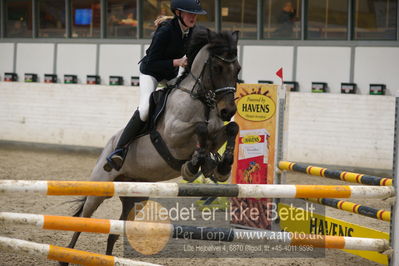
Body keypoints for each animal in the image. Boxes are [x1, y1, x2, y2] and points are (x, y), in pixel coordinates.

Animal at [59, 28, 241, 264]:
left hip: (136, 199)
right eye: (217, 68)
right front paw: (193, 166)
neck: (200, 101)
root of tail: (108, 147)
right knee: (84, 218)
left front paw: (220, 166)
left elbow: (232, 129)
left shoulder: (215, 135)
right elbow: (200, 128)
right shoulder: (173, 136)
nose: (228, 110)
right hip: (100, 187)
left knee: (115, 230)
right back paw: (66, 255)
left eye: (237, 69)